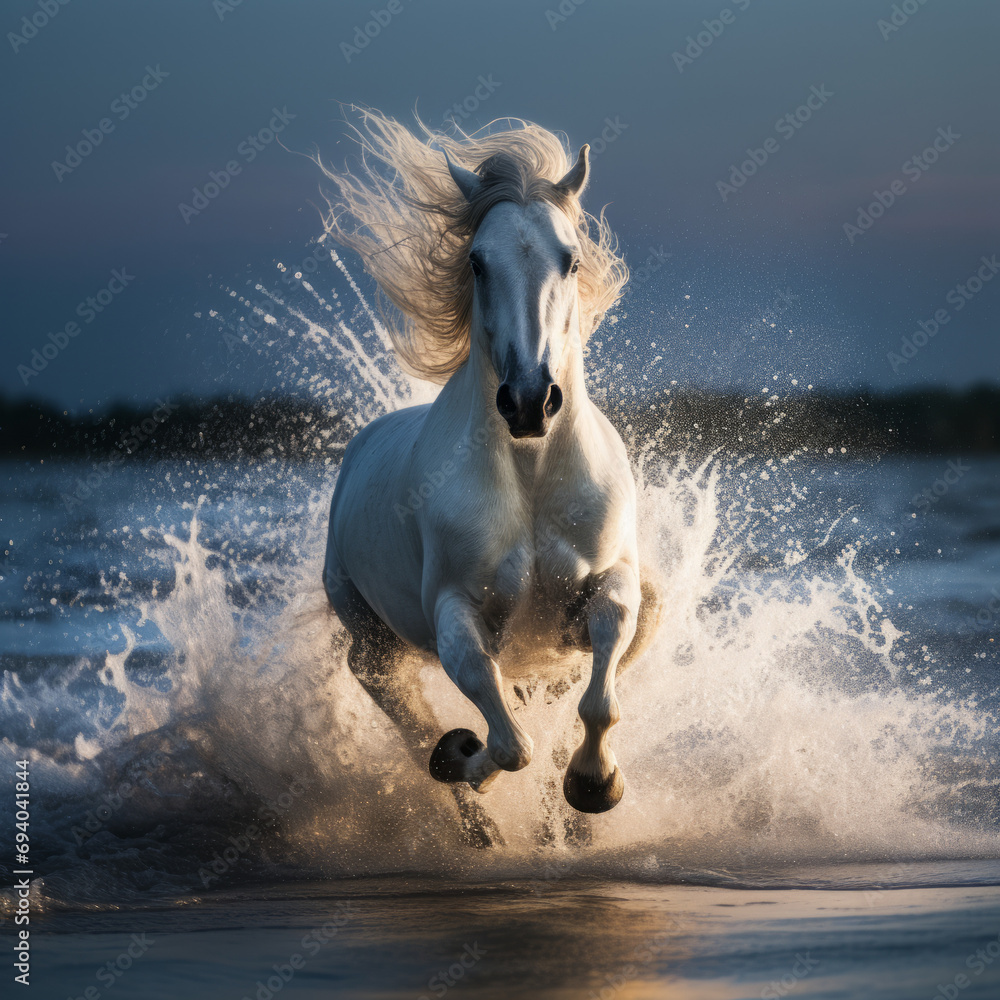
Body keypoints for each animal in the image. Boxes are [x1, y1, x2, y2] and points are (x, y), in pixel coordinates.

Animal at [318, 110, 661, 845]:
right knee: (410, 717)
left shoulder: (610, 588)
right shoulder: (456, 617)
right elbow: (507, 744)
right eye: (477, 261)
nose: (530, 401)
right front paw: (458, 756)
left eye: (572, 258)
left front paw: (594, 785)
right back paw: (479, 827)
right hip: (373, 645)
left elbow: (596, 701)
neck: (530, 479)